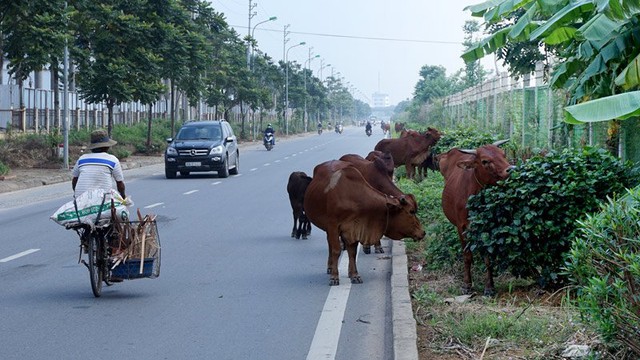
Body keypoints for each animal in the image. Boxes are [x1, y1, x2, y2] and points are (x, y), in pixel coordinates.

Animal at [440, 141, 516, 296]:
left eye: (503, 154)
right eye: (485, 161)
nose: (511, 169)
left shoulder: (487, 226)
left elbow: (488, 257)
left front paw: (489, 287)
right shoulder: (461, 227)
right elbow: (467, 256)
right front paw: (467, 285)